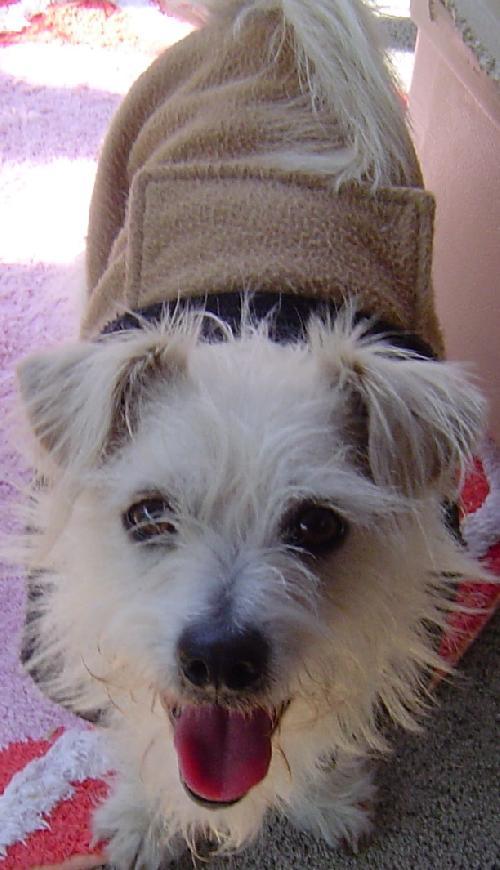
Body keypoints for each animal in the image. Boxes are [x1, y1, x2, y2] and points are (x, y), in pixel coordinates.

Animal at [17, 0, 486, 868]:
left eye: (318, 525)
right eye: (147, 515)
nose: (218, 659)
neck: (257, 312)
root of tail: (269, 25)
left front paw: (326, 795)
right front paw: (143, 818)